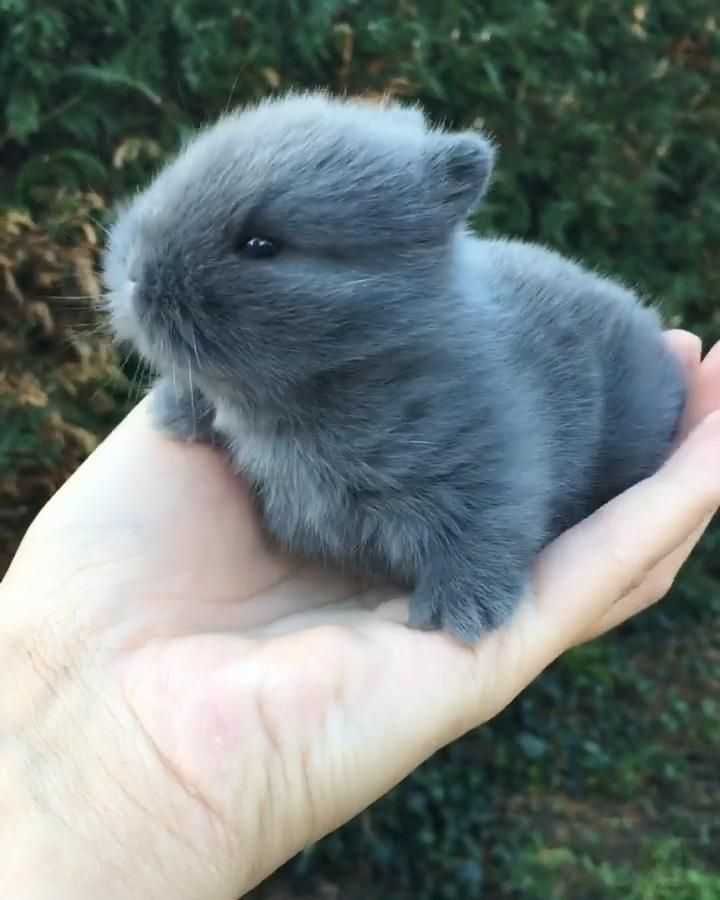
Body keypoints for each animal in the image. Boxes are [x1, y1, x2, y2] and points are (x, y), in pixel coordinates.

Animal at [102, 89, 688, 640]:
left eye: (261, 244)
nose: (134, 276)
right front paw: (175, 410)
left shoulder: (491, 461)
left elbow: (491, 526)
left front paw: (461, 613)